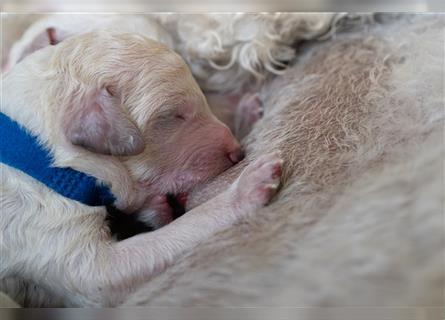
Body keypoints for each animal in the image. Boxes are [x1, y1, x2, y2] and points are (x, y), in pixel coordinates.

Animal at [0, 31, 282, 306]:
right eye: (173, 115)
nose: (237, 152)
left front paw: (247, 110)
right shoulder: (55, 236)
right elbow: (180, 228)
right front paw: (247, 186)